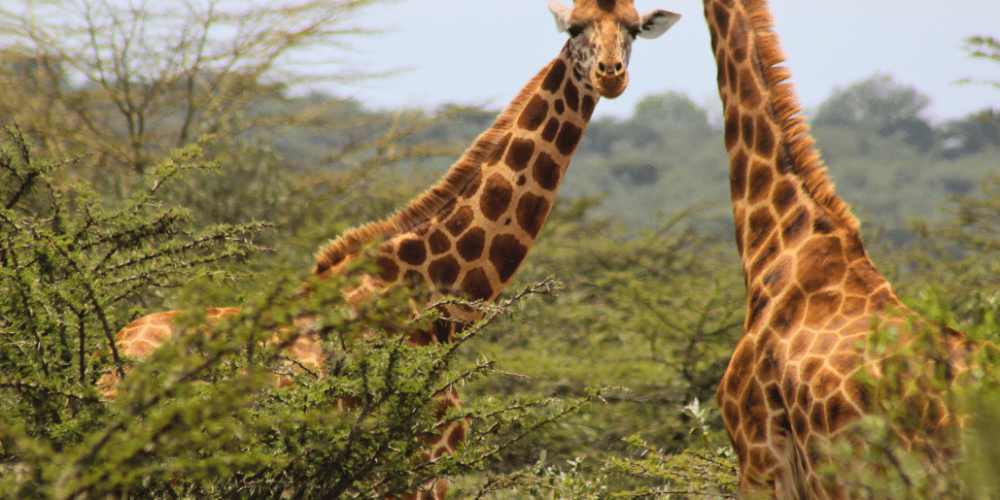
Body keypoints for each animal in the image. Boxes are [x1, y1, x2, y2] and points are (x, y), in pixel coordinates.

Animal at [101, 1, 680, 498]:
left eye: (632, 29)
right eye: (575, 27)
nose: (611, 74)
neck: (430, 296)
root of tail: (105, 373)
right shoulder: (417, 468)